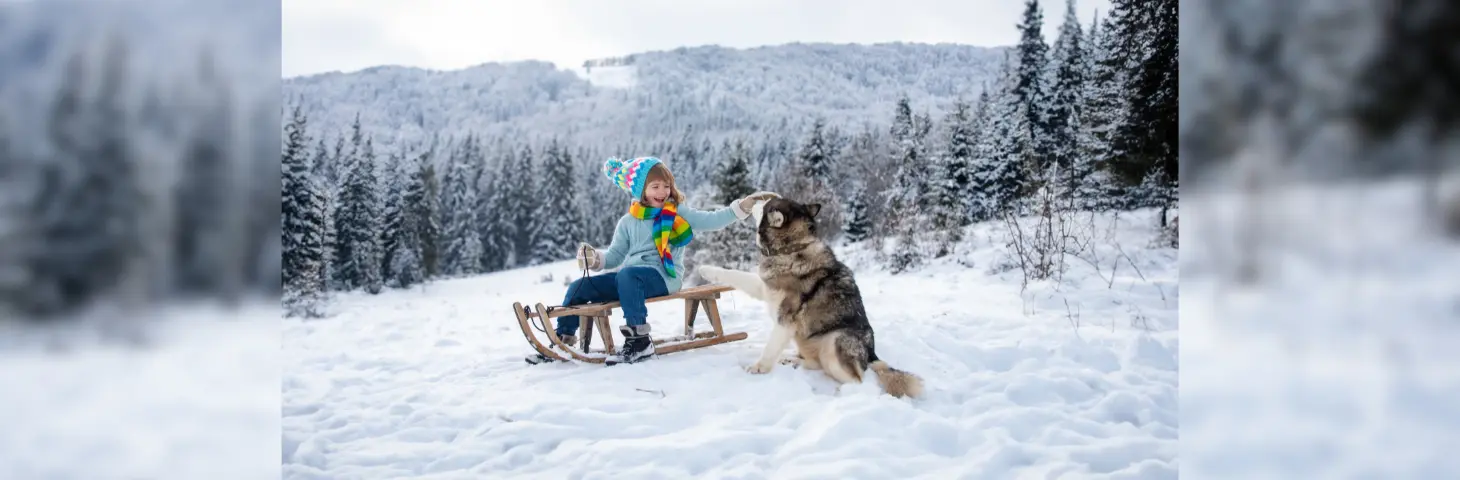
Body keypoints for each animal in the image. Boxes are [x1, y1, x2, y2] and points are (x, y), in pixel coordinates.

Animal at [697, 194, 922, 396]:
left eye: (767, 205)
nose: (755, 199)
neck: (791, 249)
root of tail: (872, 353)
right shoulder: (765, 288)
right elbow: (735, 275)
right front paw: (706, 270)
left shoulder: (785, 320)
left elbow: (769, 348)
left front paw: (758, 368)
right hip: (804, 338)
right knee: (816, 364)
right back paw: (794, 360)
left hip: (835, 341)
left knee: (857, 379)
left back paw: (843, 392)